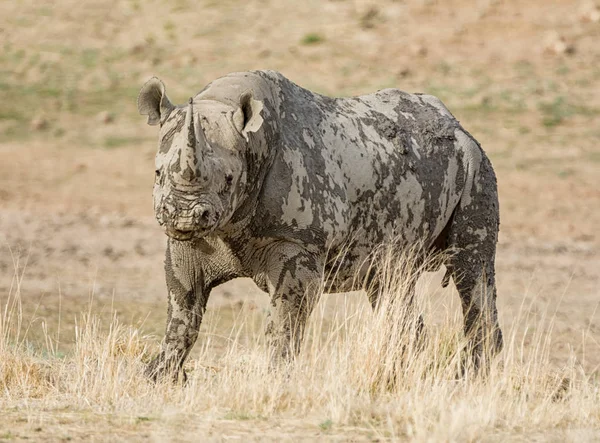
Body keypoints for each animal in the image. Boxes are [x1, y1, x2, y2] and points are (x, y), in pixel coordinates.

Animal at [137, 70, 502, 382]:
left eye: (228, 179)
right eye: (157, 173)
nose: (184, 216)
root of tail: (456, 124)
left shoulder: (299, 242)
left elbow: (284, 319)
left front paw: (275, 380)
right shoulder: (192, 242)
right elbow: (183, 309)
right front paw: (159, 378)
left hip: (476, 165)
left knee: (472, 270)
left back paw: (471, 379)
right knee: (390, 283)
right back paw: (403, 378)